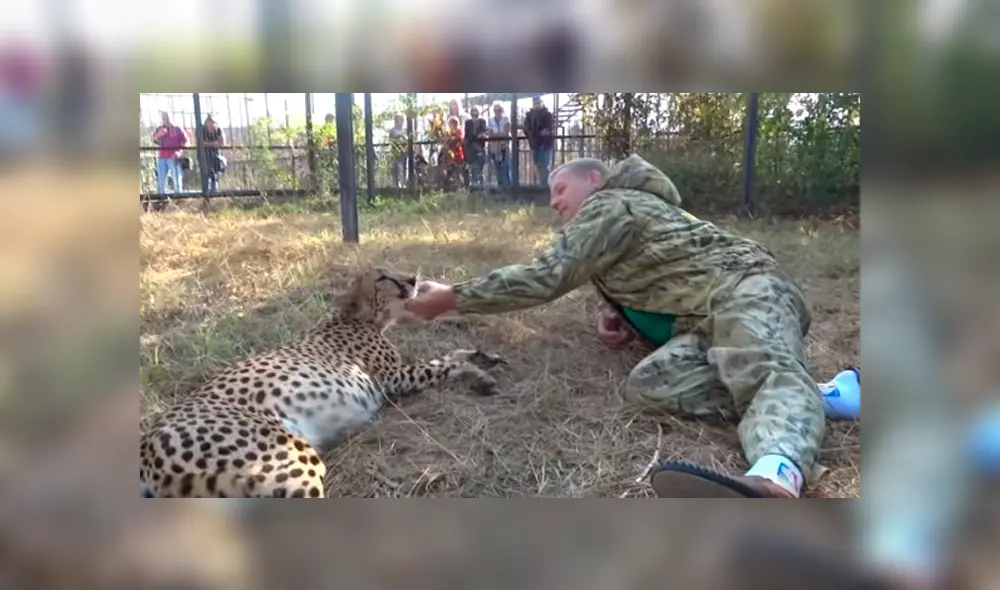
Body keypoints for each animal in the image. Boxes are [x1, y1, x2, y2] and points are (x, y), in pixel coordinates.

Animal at [139, 266, 505, 498]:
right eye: (382, 276)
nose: (413, 279)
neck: (359, 316)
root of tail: (147, 445)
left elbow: (449, 355)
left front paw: (482, 356)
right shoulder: (391, 380)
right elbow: (446, 366)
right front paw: (479, 375)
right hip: (289, 459)